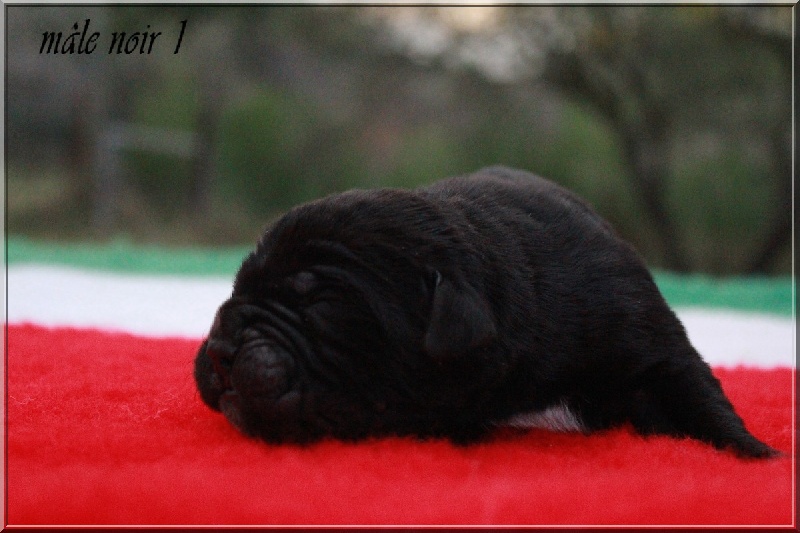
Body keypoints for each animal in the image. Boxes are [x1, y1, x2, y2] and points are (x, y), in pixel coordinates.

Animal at [194, 166, 776, 458]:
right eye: (237, 286)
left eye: (319, 305)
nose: (222, 349)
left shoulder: (645, 336)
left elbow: (698, 392)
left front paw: (757, 455)